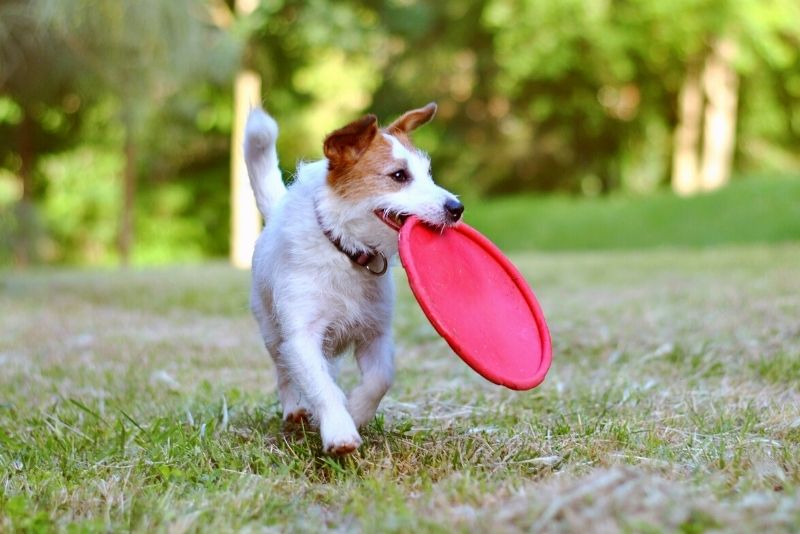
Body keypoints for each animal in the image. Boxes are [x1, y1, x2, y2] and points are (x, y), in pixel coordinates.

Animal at [244, 104, 462, 456]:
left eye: (428, 173)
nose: (457, 208)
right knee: (284, 370)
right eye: (399, 176)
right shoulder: (302, 336)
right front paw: (339, 430)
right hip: (272, 330)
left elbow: (380, 379)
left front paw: (357, 411)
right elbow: (320, 385)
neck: (347, 251)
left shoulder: (376, 333)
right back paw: (295, 409)